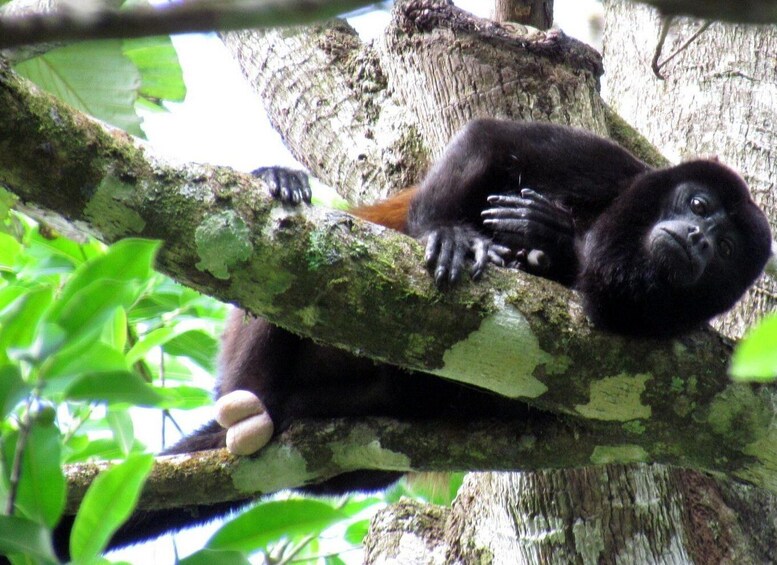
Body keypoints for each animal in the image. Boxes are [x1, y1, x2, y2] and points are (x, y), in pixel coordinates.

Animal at [53, 118, 768, 556]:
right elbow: (494, 140)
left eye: (728, 247)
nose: (700, 238)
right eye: (699, 205)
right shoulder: (609, 165)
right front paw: (454, 234)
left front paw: (551, 242)